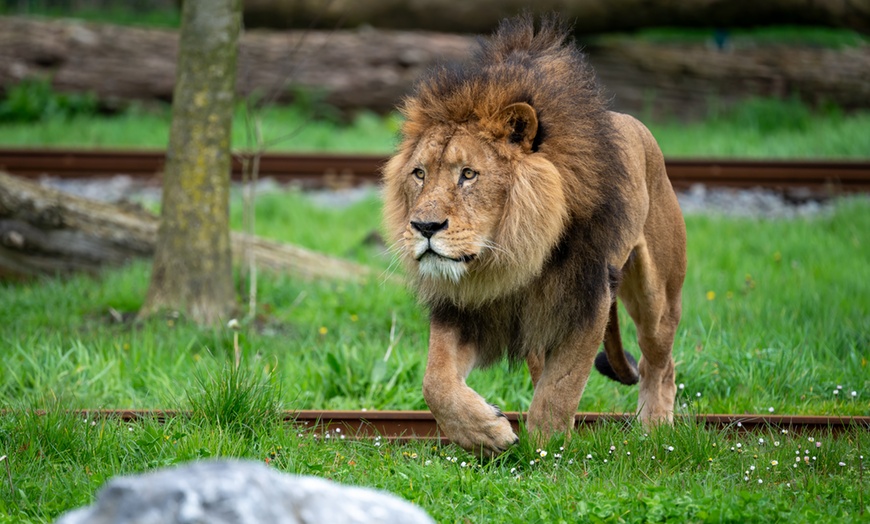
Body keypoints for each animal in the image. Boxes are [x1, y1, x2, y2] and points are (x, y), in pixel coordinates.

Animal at [382, 14, 688, 456]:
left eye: (468, 174)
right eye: (419, 173)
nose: (424, 227)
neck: (506, 255)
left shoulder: (587, 301)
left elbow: (559, 390)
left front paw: (546, 450)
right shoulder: (461, 309)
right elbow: (436, 383)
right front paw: (487, 432)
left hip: (657, 296)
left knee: (660, 364)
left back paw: (655, 430)